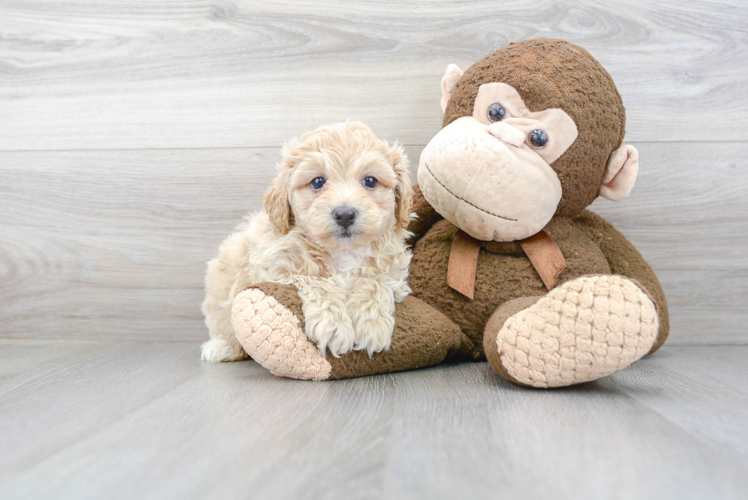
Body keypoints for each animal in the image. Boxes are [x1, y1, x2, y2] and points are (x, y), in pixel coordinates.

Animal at [200, 121, 414, 364]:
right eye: (317, 182)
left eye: (370, 181)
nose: (345, 214)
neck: (343, 252)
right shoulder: (274, 268)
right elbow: (316, 280)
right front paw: (333, 325)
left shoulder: (394, 275)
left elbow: (374, 283)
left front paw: (372, 324)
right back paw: (222, 347)